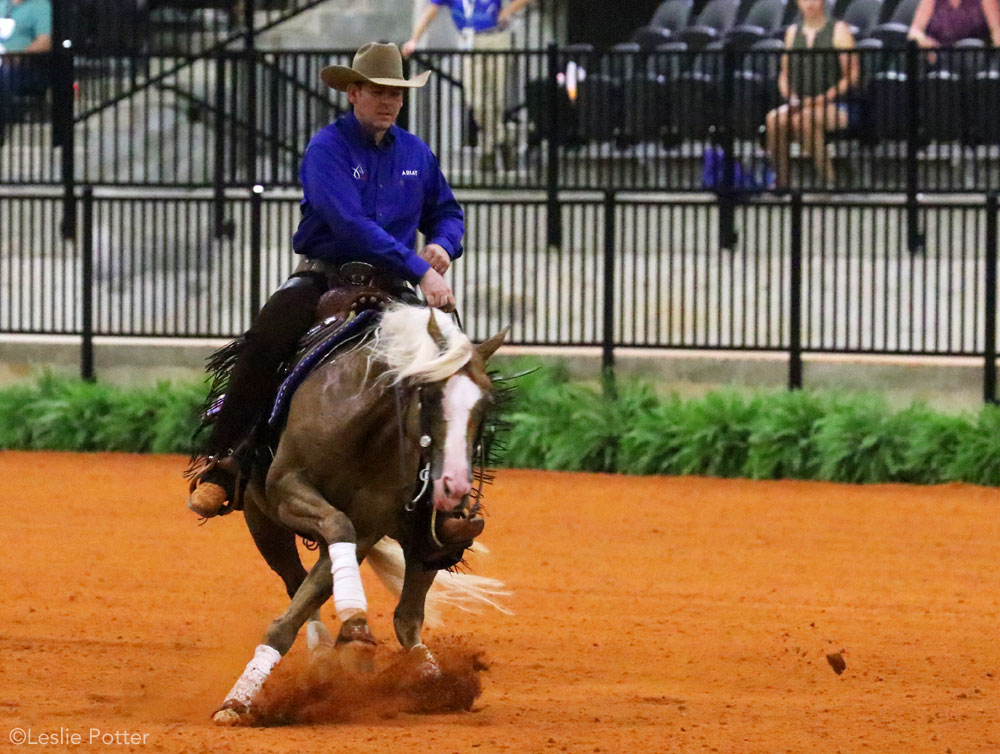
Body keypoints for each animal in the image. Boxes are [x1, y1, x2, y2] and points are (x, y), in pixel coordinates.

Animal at [211, 302, 508, 724]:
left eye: (486, 402)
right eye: (430, 393)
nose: (454, 485)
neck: (358, 420)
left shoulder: (370, 522)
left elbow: (339, 569)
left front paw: (358, 633)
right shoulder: (287, 488)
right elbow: (312, 580)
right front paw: (237, 701)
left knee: (403, 613)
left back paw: (428, 679)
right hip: (262, 520)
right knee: (296, 580)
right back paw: (329, 649)